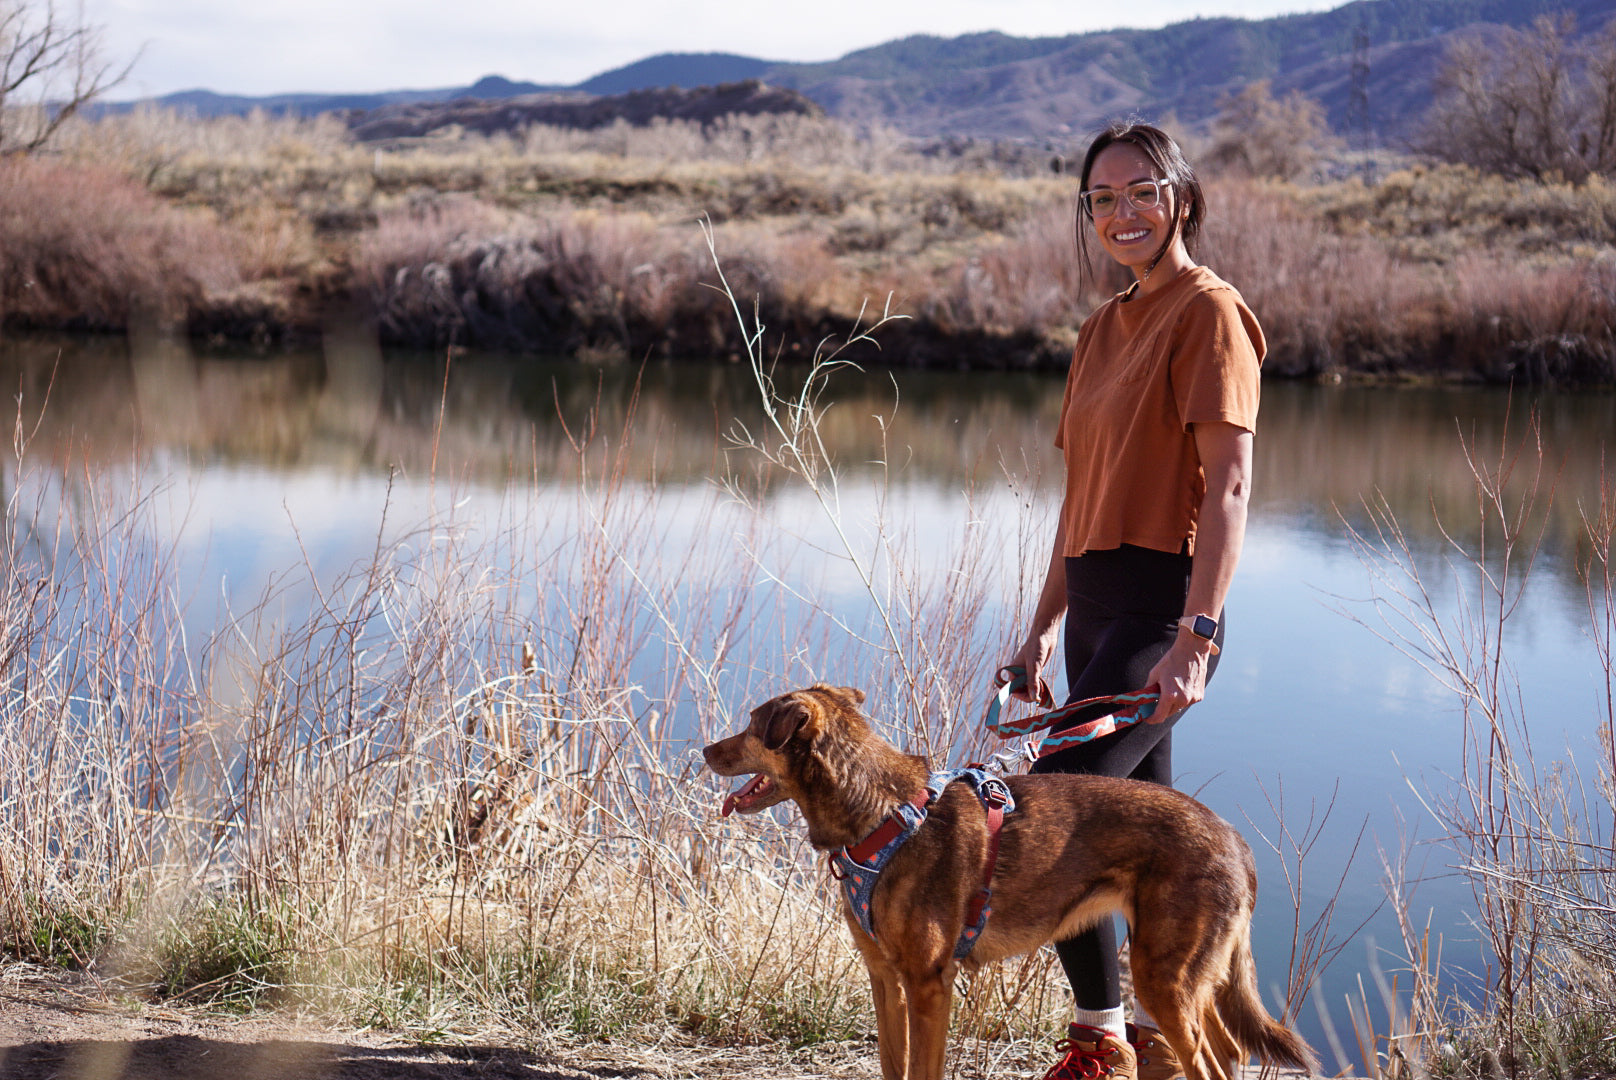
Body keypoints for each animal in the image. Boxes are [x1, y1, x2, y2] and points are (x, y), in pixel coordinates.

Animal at [704, 682, 1312, 1080]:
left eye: (753, 725)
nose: (706, 749)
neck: (882, 816)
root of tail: (1235, 841)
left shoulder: (928, 985)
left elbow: (922, 1070)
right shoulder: (885, 980)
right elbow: (891, 1063)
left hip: (1163, 977)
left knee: (1210, 1063)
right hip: (1189, 980)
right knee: (1230, 1050)